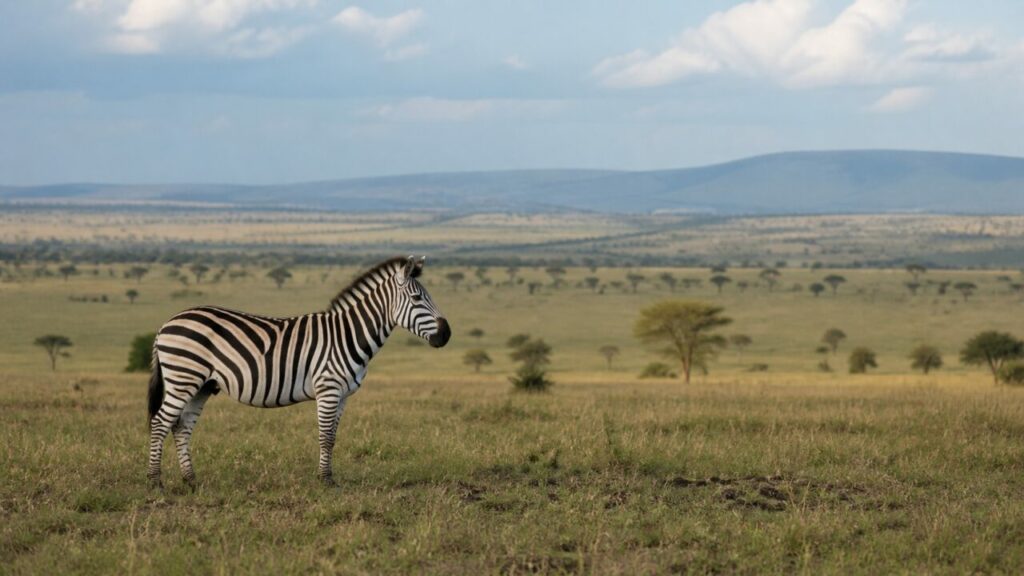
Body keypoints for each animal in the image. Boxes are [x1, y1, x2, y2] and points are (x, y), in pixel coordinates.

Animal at [146, 255, 451, 488]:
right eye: (417, 298)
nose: (446, 335)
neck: (347, 335)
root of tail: (166, 324)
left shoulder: (342, 396)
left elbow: (333, 437)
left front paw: (329, 478)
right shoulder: (328, 389)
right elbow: (325, 437)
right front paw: (325, 481)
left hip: (202, 385)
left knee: (181, 427)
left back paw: (190, 480)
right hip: (183, 378)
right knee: (160, 423)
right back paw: (155, 482)